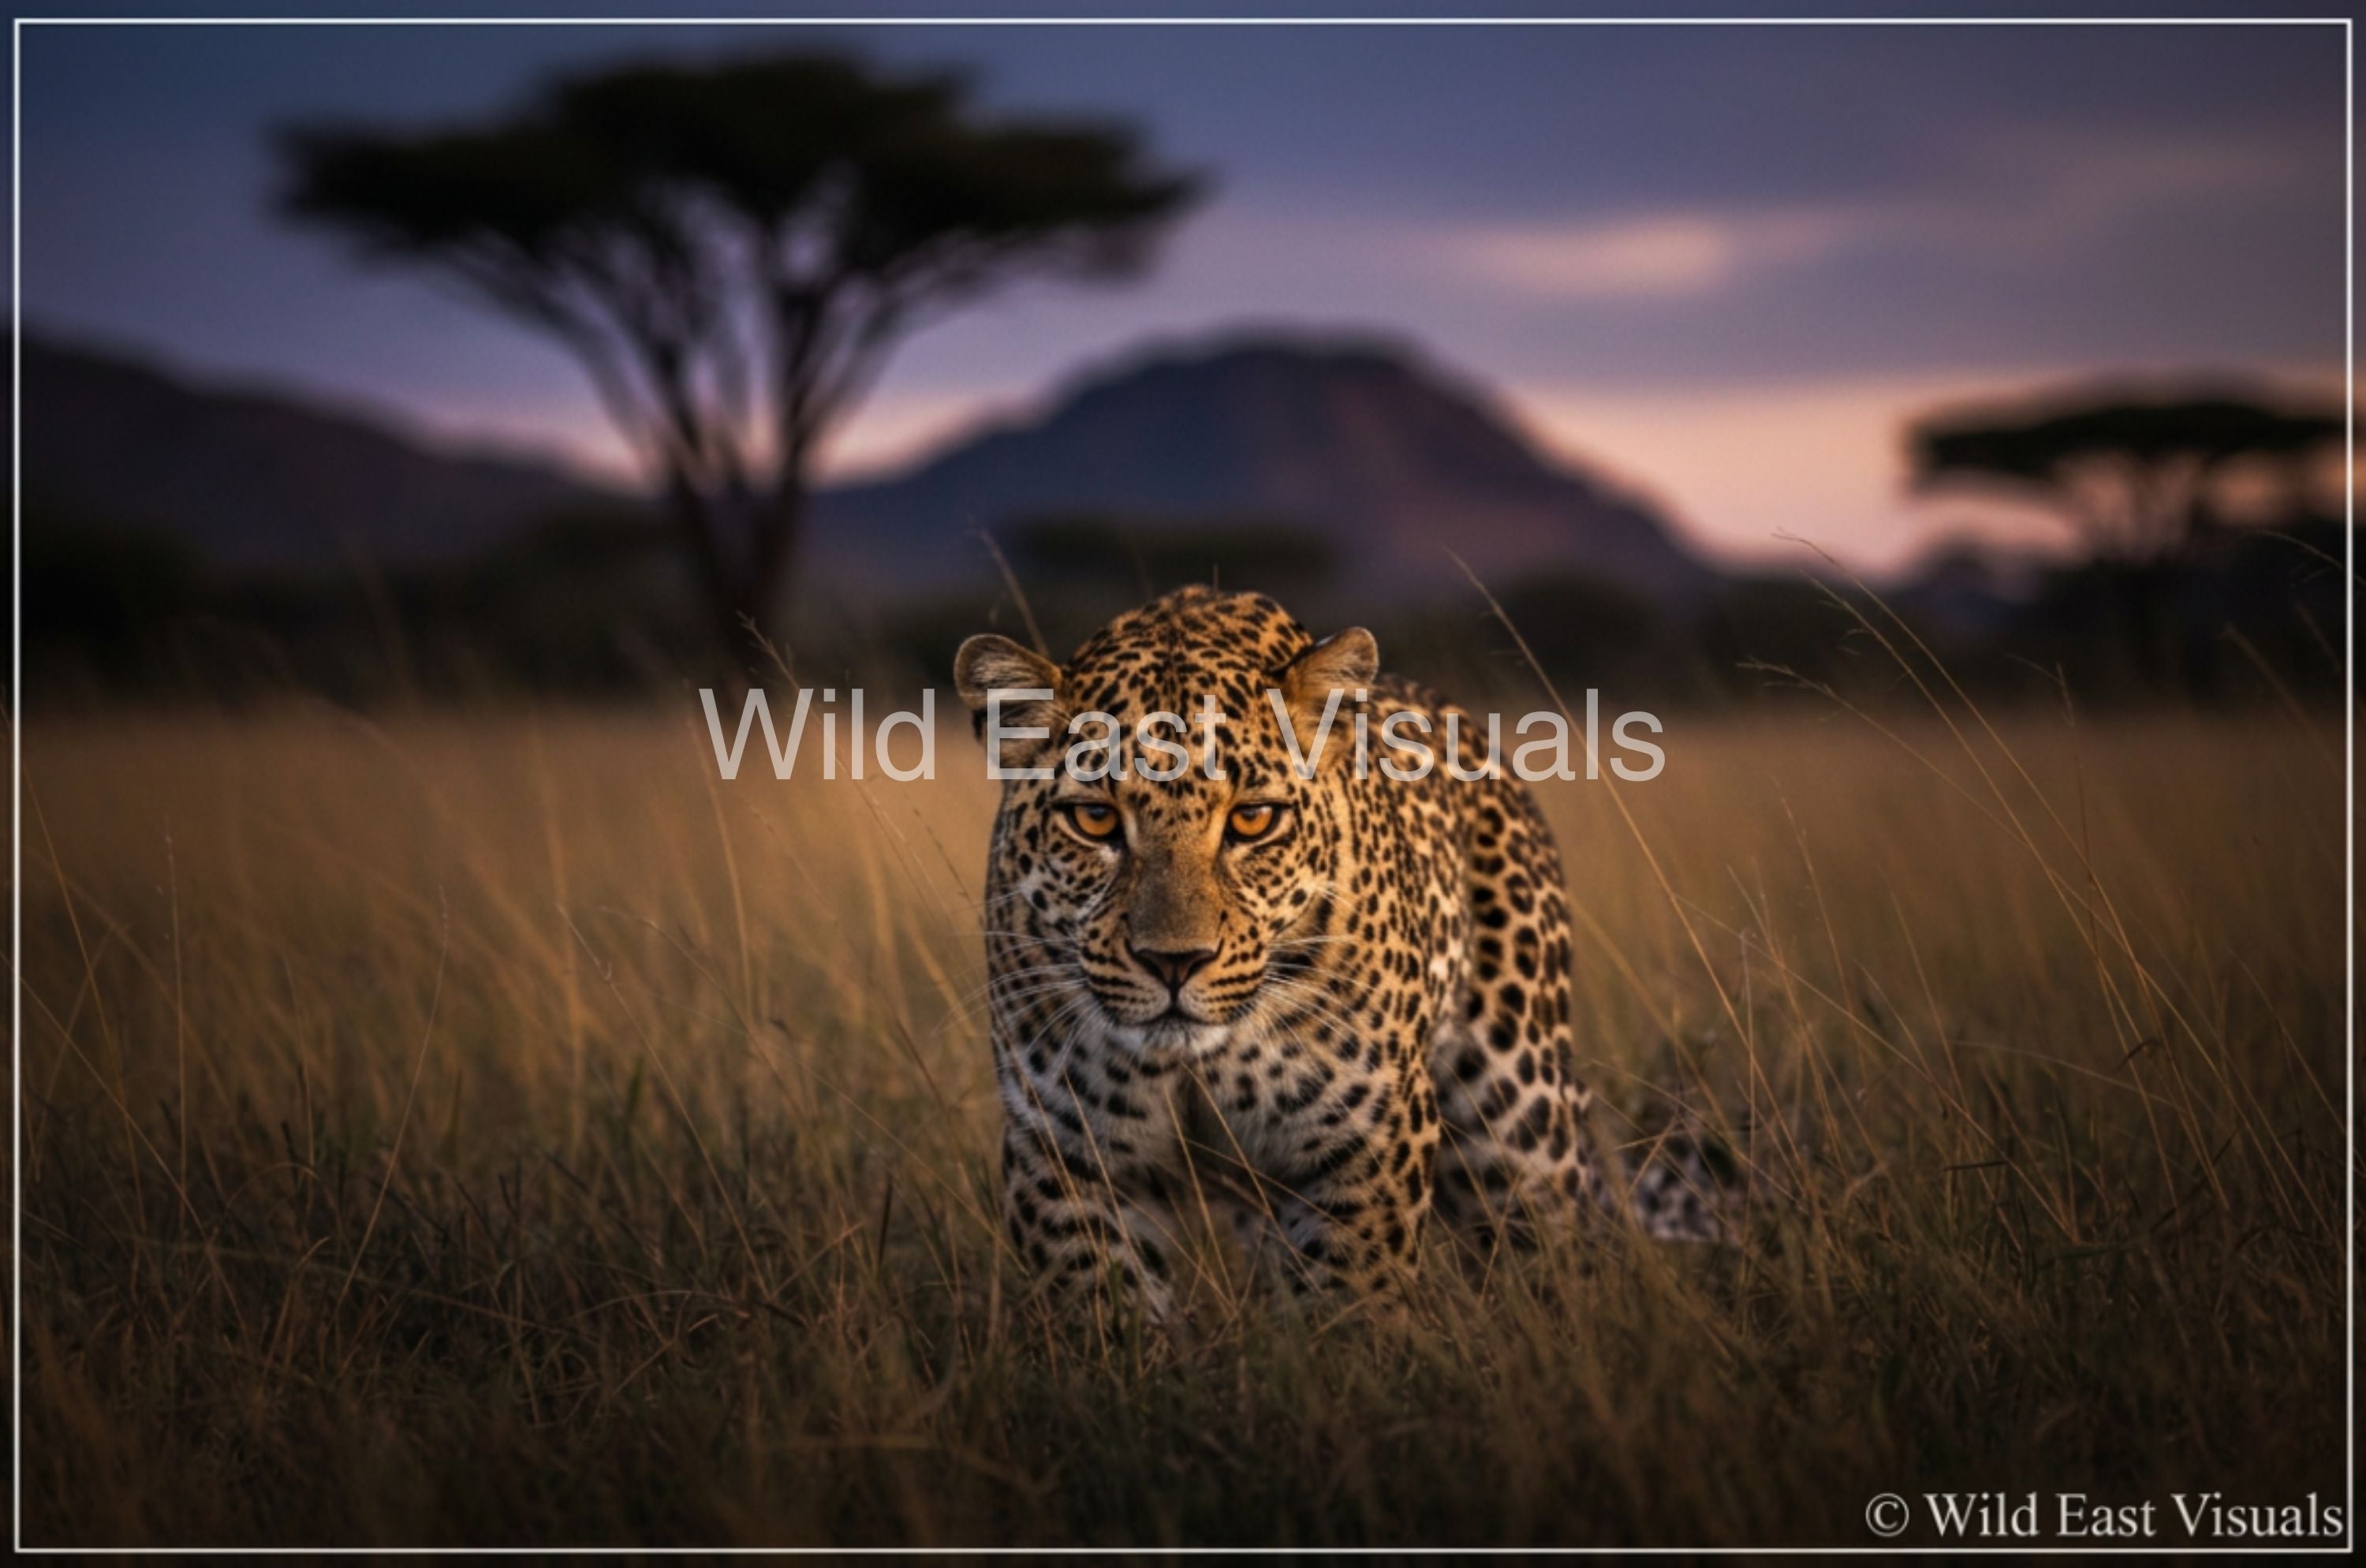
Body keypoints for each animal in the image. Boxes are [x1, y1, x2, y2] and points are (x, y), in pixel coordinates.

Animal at [953, 586, 1720, 1319]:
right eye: (1095, 820)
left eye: (1253, 820)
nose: (1175, 962)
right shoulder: (1067, 1154)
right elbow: (1109, 1317)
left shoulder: (1365, 1141)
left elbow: (1350, 1310)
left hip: (1521, 1124)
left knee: (1564, 1254)